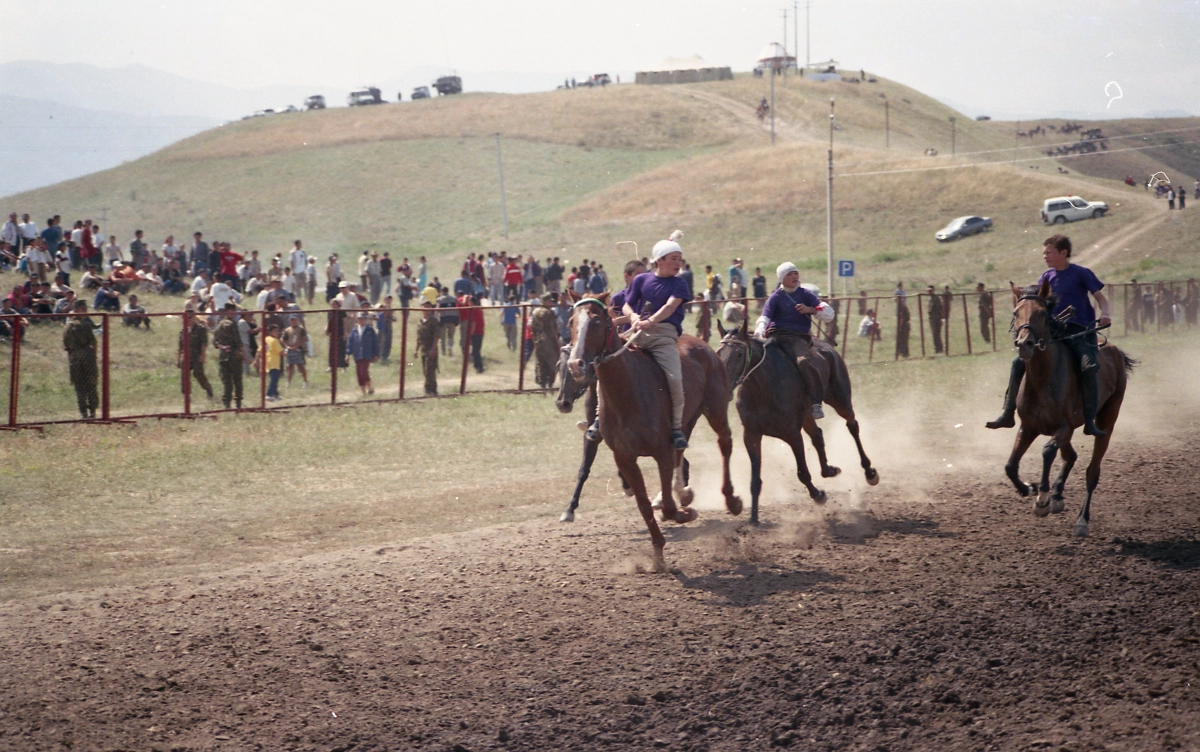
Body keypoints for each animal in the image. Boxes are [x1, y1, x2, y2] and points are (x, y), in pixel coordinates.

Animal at [561, 291, 739, 568]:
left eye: (597, 321)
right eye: (571, 321)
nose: (575, 365)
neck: (627, 392)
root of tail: (703, 345)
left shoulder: (660, 452)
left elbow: (667, 507)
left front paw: (684, 514)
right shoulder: (624, 457)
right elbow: (644, 505)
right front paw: (658, 554)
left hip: (716, 409)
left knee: (725, 443)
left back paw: (730, 499)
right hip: (687, 420)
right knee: (682, 450)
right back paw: (684, 493)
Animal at [710, 321, 883, 527]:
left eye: (739, 354)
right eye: (719, 352)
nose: (724, 386)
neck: (763, 388)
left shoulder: (792, 434)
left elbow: (802, 472)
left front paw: (818, 495)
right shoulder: (751, 435)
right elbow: (755, 480)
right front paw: (753, 518)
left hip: (840, 400)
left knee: (853, 426)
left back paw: (869, 472)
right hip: (808, 415)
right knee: (818, 435)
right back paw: (829, 470)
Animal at [1003, 279, 1132, 537]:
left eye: (1042, 313)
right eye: (1015, 312)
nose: (1024, 344)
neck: (1043, 379)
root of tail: (1115, 350)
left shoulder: (1064, 427)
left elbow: (1047, 452)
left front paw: (1042, 499)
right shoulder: (1028, 427)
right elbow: (1010, 465)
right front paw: (1029, 488)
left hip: (1107, 420)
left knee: (1092, 471)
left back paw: (1081, 519)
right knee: (1070, 455)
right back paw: (1057, 495)